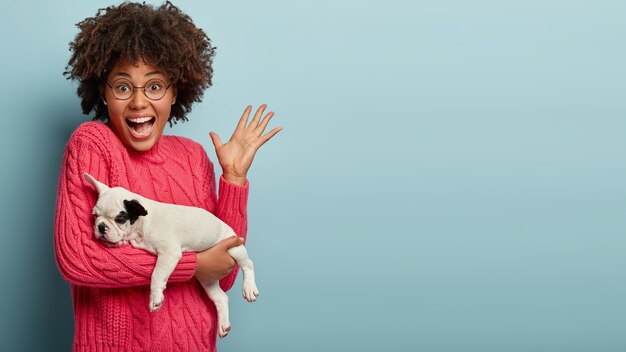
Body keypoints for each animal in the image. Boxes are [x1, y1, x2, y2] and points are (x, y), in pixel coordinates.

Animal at [83, 173, 258, 338]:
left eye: (120, 219)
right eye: (95, 216)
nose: (101, 226)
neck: (141, 225)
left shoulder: (169, 252)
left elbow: (157, 274)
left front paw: (155, 298)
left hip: (234, 248)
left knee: (248, 264)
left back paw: (249, 288)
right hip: (207, 279)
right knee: (220, 298)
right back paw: (223, 324)